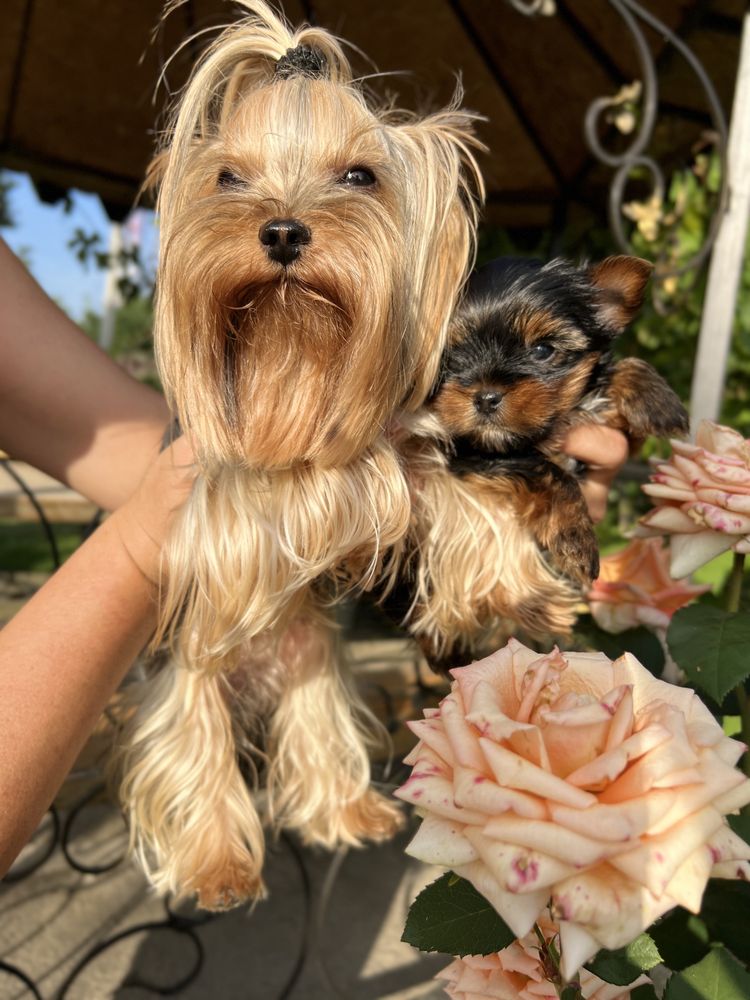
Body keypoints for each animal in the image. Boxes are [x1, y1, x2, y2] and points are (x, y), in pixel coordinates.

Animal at [111, 0, 484, 908]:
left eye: (359, 176)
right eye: (227, 179)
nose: (281, 229)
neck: (289, 353)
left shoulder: (378, 459)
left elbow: (421, 478)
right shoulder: (223, 527)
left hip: (308, 650)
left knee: (315, 715)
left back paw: (348, 809)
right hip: (198, 664)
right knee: (194, 730)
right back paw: (216, 862)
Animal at [396, 254, 692, 672]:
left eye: (542, 350)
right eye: (451, 357)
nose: (485, 396)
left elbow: (616, 378)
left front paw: (655, 398)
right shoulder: (467, 453)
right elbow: (545, 469)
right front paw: (575, 538)